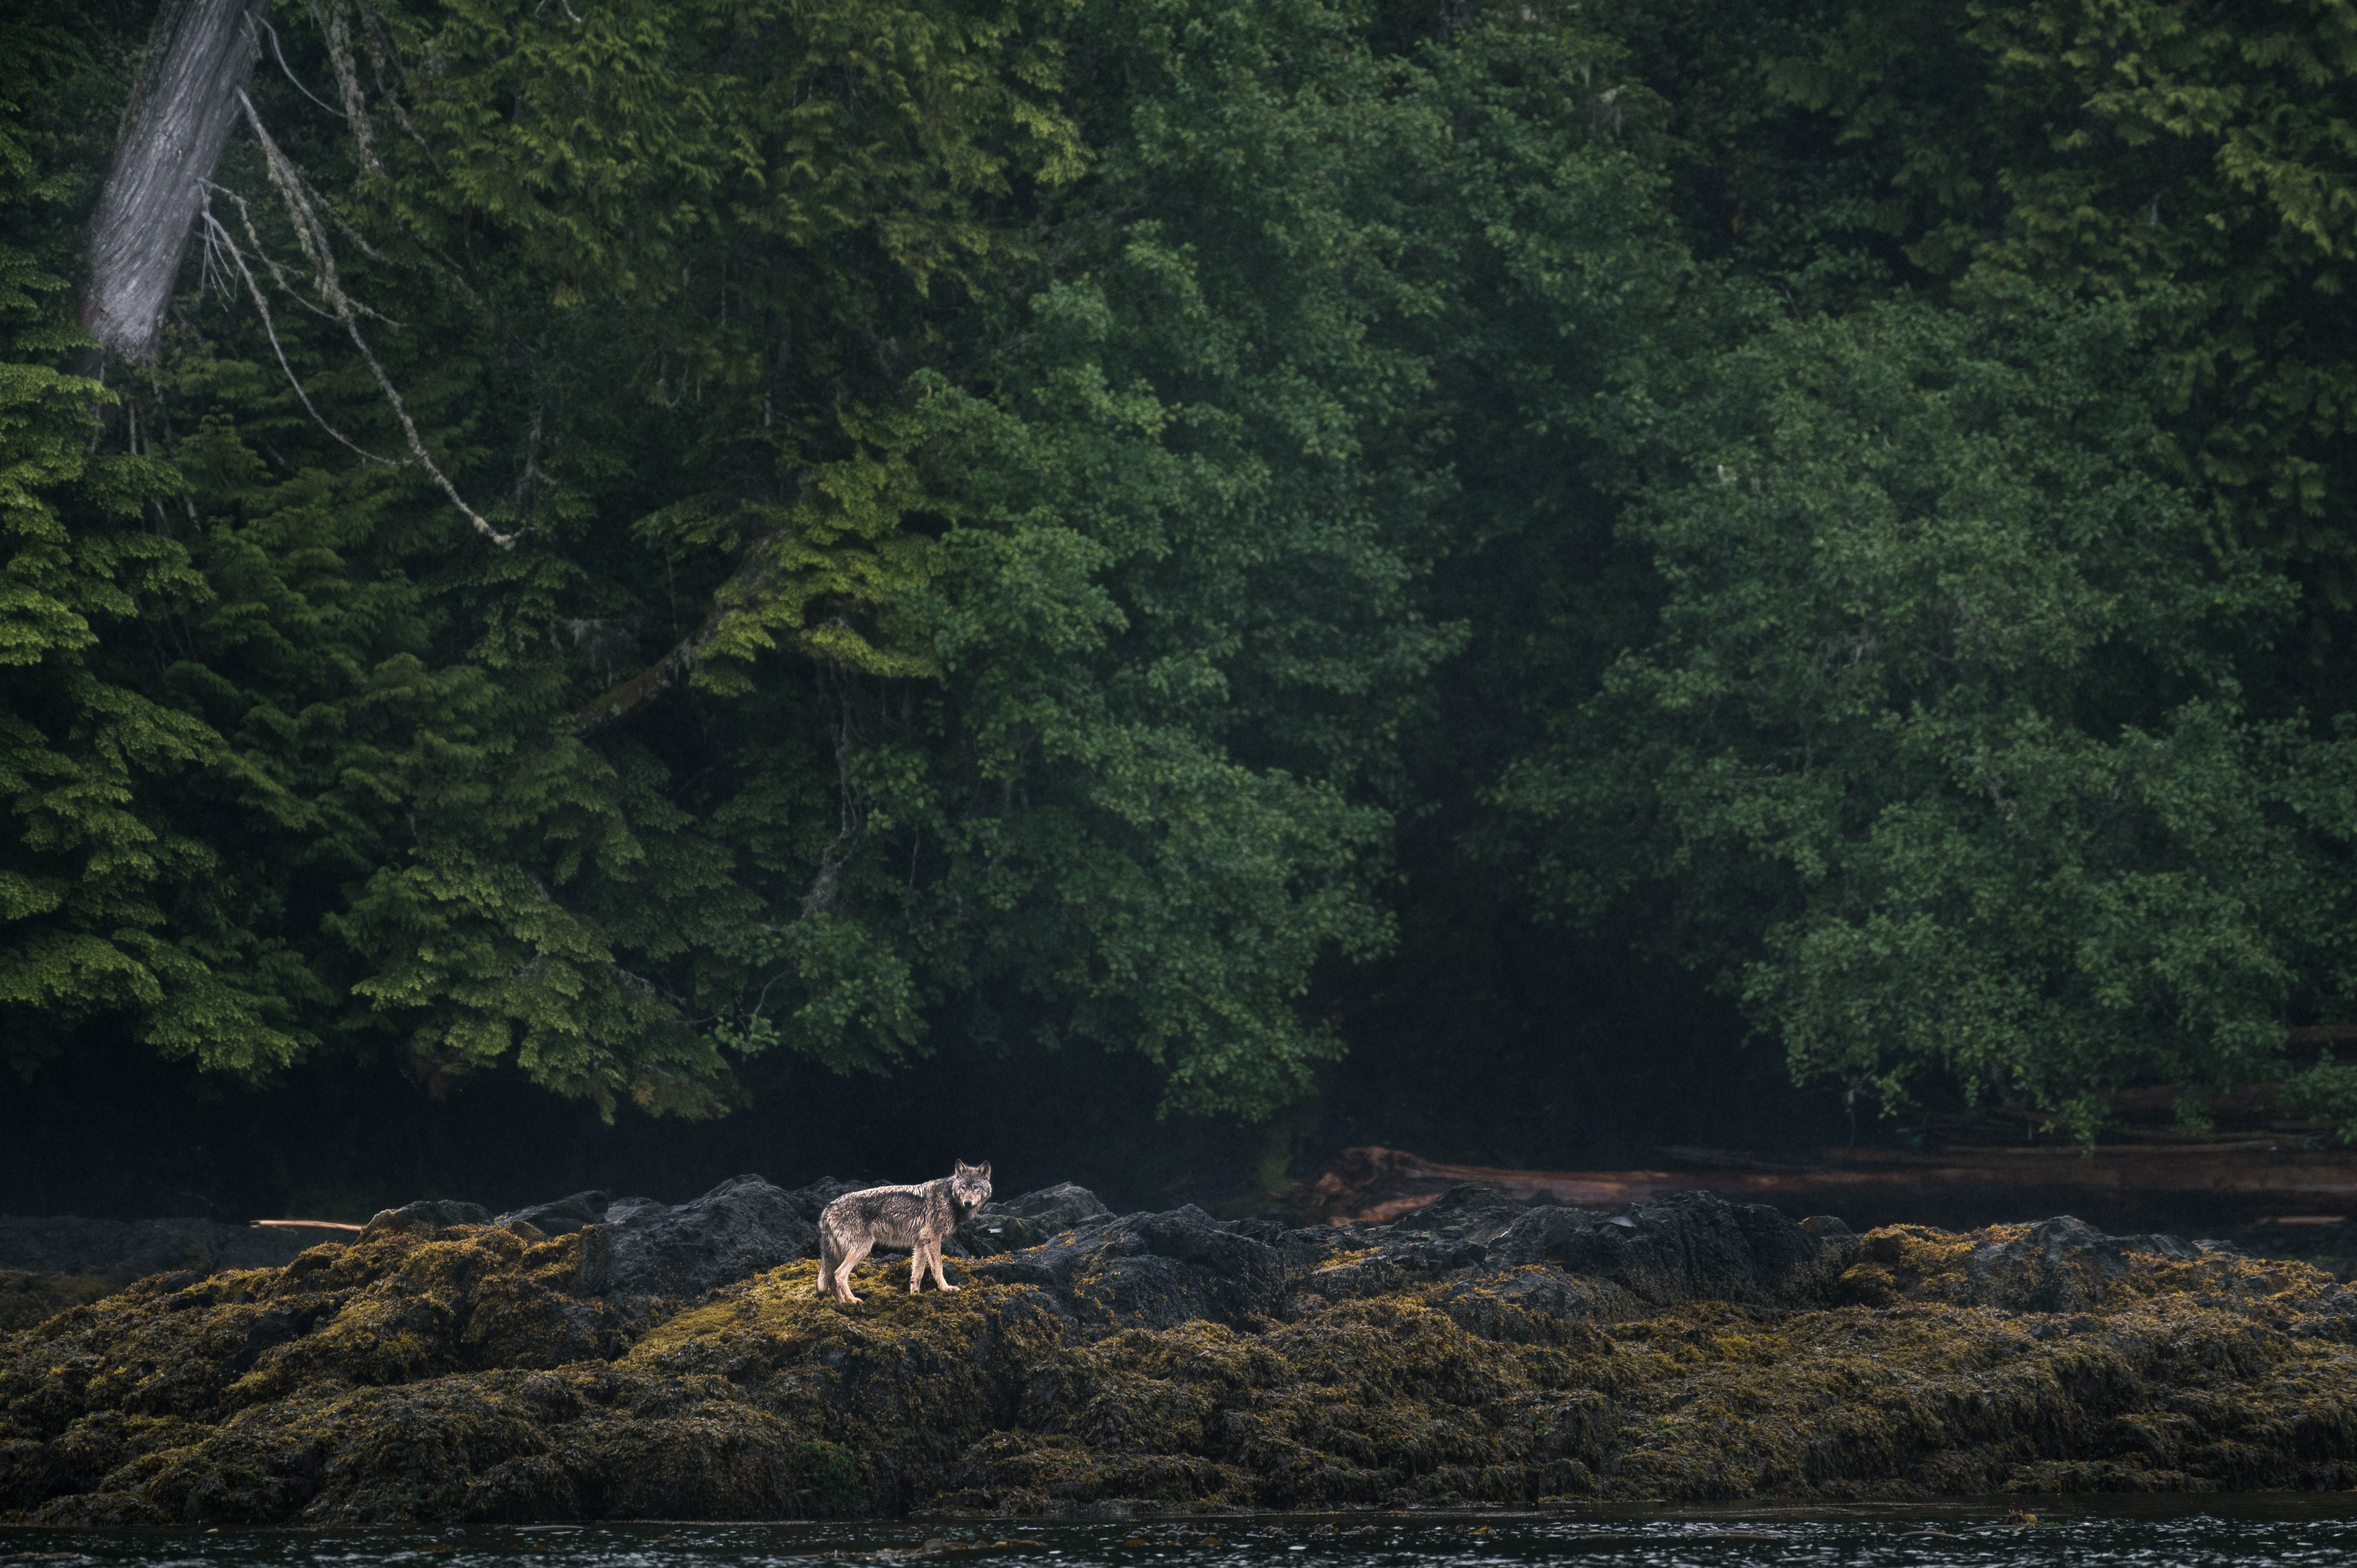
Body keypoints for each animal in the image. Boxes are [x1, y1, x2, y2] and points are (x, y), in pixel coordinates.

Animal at [815, 1155, 990, 1301]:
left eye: (976, 1188)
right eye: (963, 1188)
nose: (968, 1203)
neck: (950, 1198)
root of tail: (828, 1208)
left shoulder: (921, 1243)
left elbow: (917, 1273)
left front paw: (915, 1295)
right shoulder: (933, 1238)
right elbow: (938, 1267)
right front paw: (946, 1288)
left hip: (842, 1253)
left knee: (831, 1278)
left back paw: (842, 1304)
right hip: (862, 1248)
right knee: (839, 1275)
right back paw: (853, 1301)